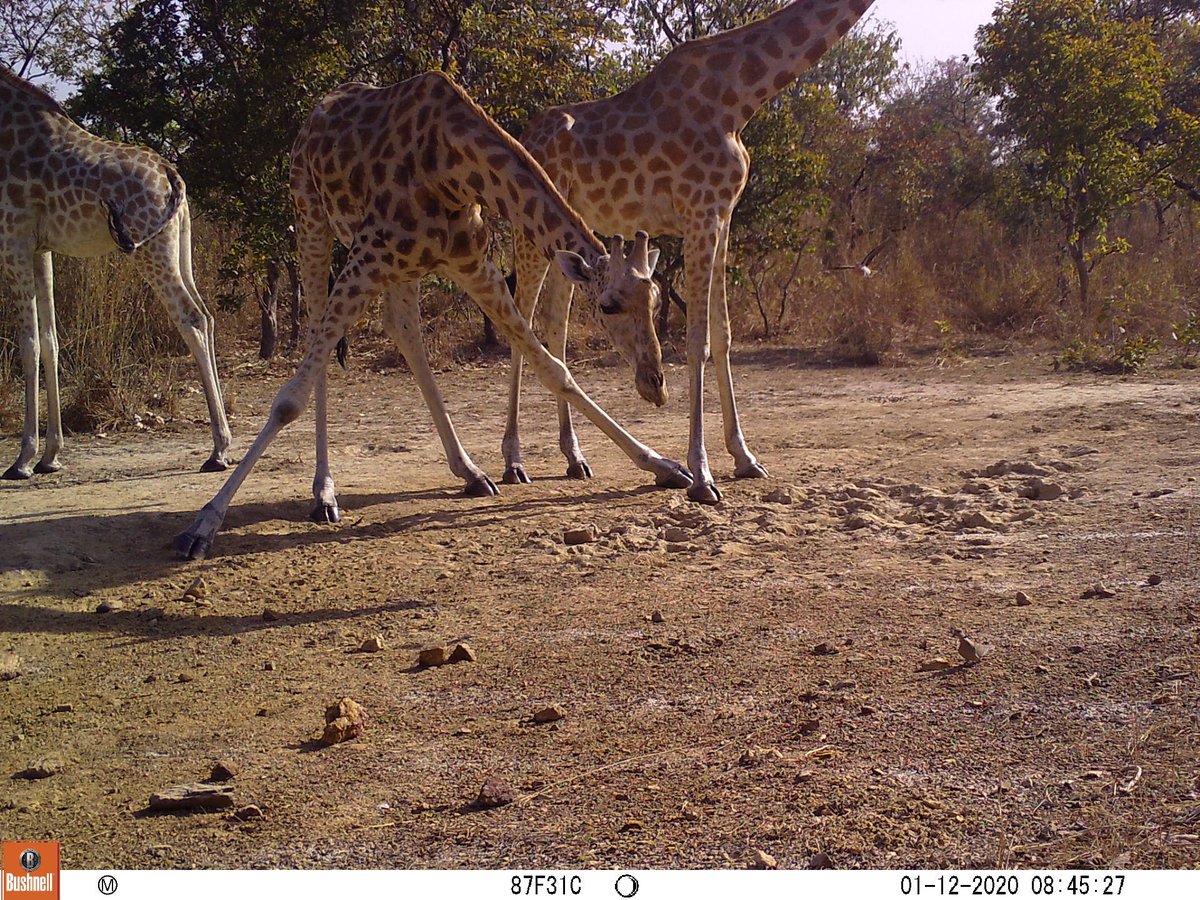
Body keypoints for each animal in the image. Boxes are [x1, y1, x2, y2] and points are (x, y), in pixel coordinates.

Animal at [0, 67, 231, 479]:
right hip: (178, 245)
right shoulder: (41, 249)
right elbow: (50, 340)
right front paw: (50, 456)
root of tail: (172, 175)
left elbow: (27, 344)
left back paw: (218, 450)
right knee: (207, 316)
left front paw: (23, 459)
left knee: (191, 318)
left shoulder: (13, 240)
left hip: (150, 250)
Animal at [175, 71, 692, 560]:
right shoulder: (367, 256)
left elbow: (554, 369)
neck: (453, 167)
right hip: (311, 216)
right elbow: (287, 401)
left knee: (404, 330)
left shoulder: (471, 262)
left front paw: (666, 466)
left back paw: (470, 472)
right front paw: (204, 524)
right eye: (608, 307)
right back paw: (324, 495)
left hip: (401, 267)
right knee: (321, 330)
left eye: (655, 301)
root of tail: (317, 112)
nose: (656, 385)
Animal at [504, 0, 875, 502]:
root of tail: (526, 135)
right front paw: (701, 475)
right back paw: (513, 461)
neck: (742, 95)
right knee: (520, 319)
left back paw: (574, 457)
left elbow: (722, 335)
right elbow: (696, 339)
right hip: (527, 228)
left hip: (564, 229)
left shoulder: (723, 215)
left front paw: (745, 458)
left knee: (555, 325)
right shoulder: (700, 213)